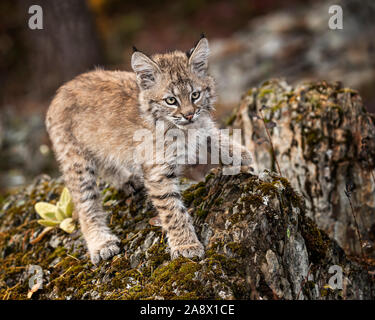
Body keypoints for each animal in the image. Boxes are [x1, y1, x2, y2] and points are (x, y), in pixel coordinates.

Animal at [47, 36, 253, 264]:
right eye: (171, 100)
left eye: (195, 95)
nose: (189, 115)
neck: (178, 128)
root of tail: (62, 89)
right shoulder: (158, 173)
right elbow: (173, 211)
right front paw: (186, 245)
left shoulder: (199, 125)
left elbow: (210, 133)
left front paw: (240, 153)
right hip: (76, 160)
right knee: (85, 203)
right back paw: (101, 243)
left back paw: (129, 181)